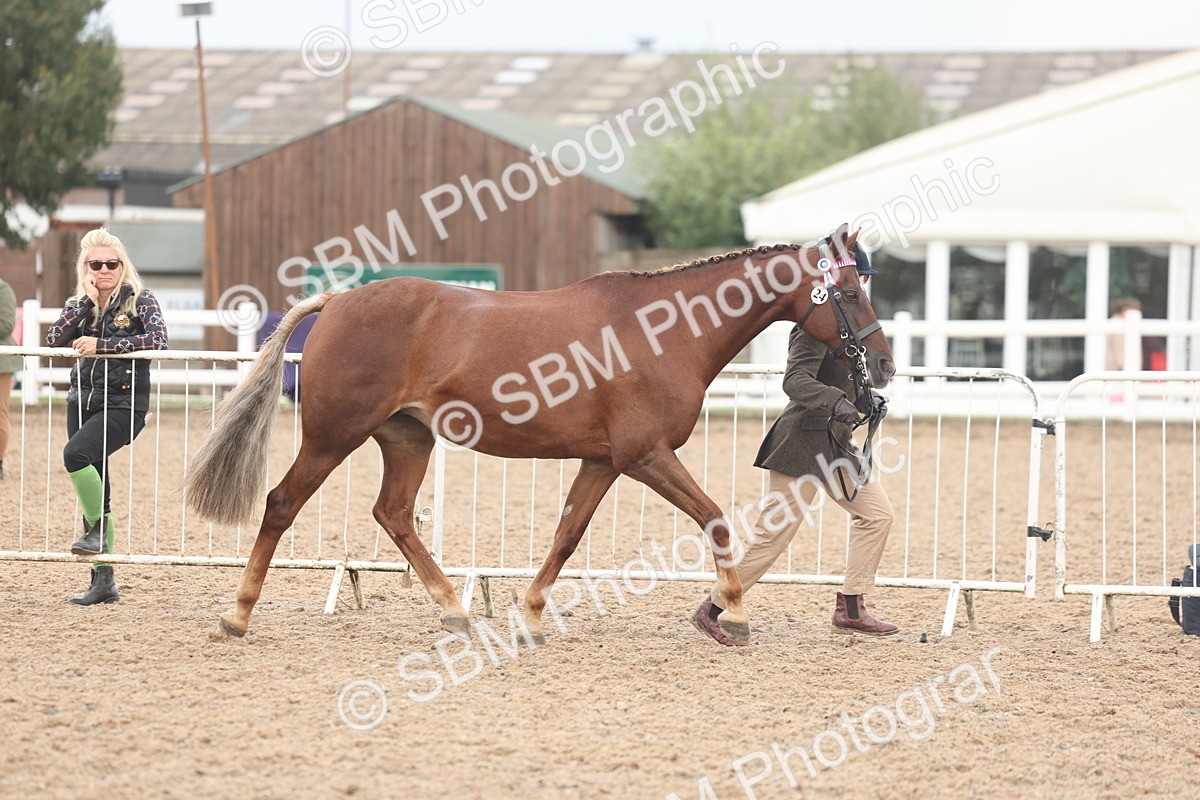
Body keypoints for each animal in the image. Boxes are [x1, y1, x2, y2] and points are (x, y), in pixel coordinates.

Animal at [183, 223, 895, 645]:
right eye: (849, 292)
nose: (884, 367)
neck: (664, 331)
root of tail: (334, 302)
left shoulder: (604, 461)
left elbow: (566, 535)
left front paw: (528, 618)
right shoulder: (646, 455)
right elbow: (715, 517)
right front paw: (737, 616)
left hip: (408, 440)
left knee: (395, 514)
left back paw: (454, 607)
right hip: (333, 437)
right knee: (282, 504)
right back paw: (236, 615)